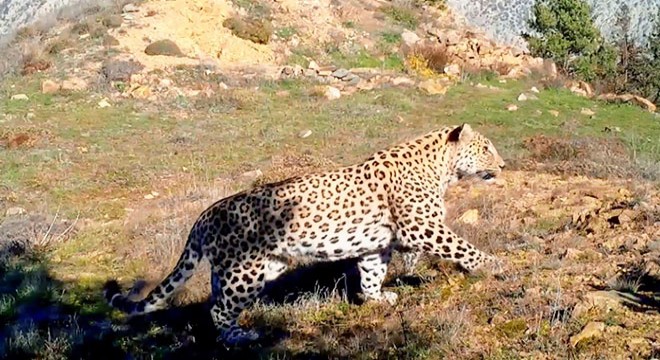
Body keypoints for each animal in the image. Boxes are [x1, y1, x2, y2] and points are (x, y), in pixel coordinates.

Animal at [103, 123, 506, 346]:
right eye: (486, 148)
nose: (502, 165)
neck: (443, 170)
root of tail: (204, 216)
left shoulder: (377, 245)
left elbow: (372, 274)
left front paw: (376, 299)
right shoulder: (422, 226)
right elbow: (461, 246)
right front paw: (493, 264)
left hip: (251, 268)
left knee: (215, 302)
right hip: (245, 270)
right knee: (220, 309)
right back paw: (239, 337)